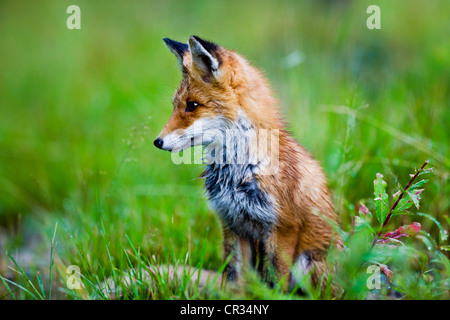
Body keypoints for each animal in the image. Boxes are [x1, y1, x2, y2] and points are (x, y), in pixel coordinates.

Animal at [155, 35, 338, 290]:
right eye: (175, 105)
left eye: (192, 105)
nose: (157, 141)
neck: (239, 172)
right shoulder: (232, 223)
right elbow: (234, 280)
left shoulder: (282, 227)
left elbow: (276, 283)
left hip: (308, 264)